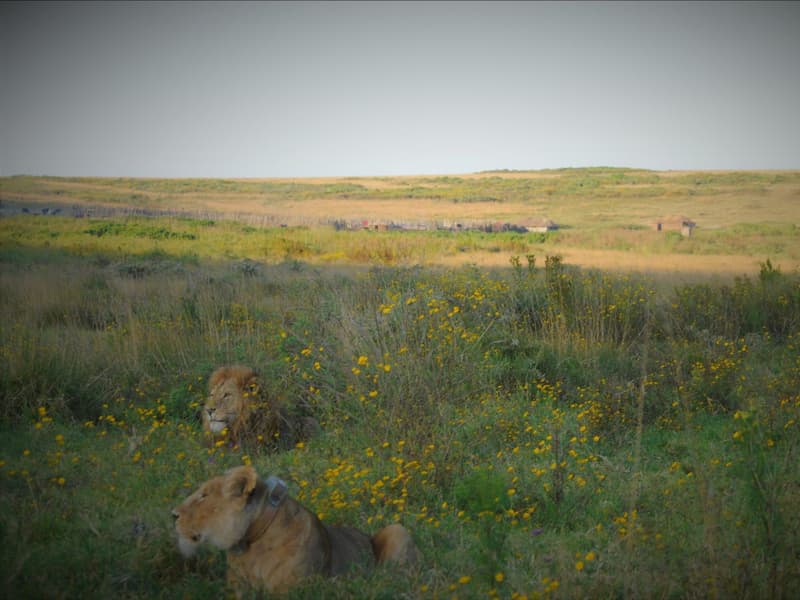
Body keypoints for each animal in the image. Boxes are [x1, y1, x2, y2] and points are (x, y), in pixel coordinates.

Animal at [171, 466, 416, 592]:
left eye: (204, 495)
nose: (173, 515)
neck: (251, 545)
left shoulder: (294, 590)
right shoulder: (236, 588)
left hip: (396, 530)